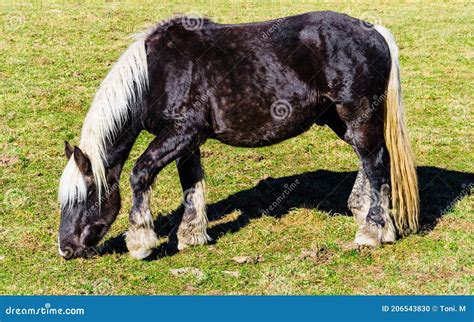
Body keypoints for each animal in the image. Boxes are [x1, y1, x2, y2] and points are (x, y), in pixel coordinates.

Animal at [56, 11, 418, 260]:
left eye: (84, 197)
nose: (65, 248)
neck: (156, 72)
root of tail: (375, 32)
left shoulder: (181, 133)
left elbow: (140, 173)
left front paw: (140, 242)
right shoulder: (188, 142)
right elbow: (191, 184)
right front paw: (191, 236)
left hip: (357, 116)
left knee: (375, 163)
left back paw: (372, 233)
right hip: (341, 121)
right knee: (370, 160)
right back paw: (371, 219)